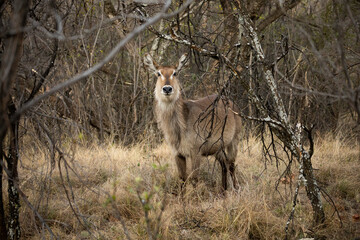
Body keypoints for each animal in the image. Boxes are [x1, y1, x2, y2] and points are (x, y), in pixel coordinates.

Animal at [144, 53, 242, 190]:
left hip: (234, 140)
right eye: (158, 73)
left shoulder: (196, 151)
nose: (167, 89)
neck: (180, 126)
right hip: (218, 147)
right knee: (224, 165)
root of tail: (232, 103)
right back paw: (224, 190)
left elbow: (194, 179)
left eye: (175, 73)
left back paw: (236, 189)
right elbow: (182, 179)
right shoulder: (177, 153)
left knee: (231, 165)